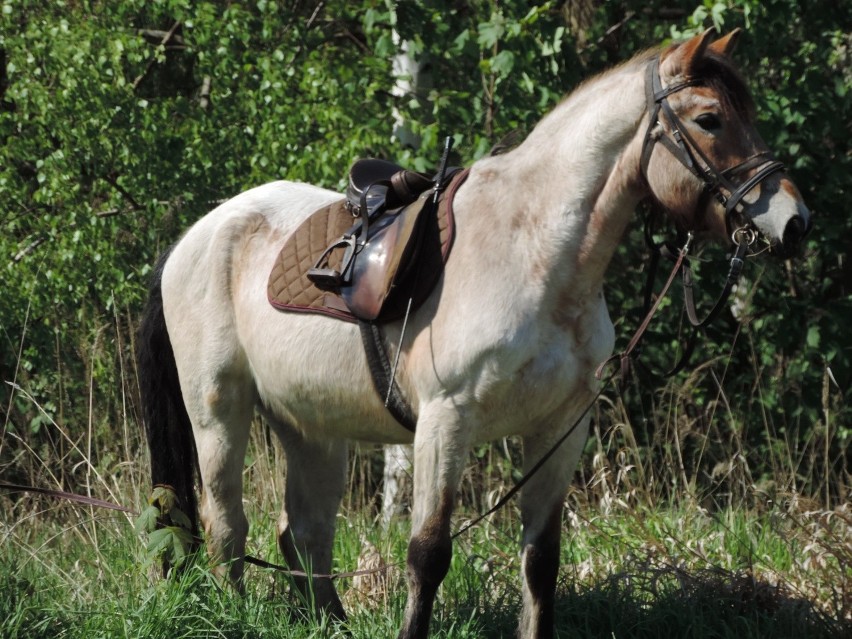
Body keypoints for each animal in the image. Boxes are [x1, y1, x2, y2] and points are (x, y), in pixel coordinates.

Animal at [138, 31, 812, 639]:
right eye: (710, 118)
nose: (795, 223)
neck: (536, 249)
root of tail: (196, 236)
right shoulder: (447, 420)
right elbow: (428, 554)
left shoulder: (560, 427)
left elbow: (541, 559)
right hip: (218, 413)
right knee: (228, 527)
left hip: (312, 428)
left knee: (304, 532)